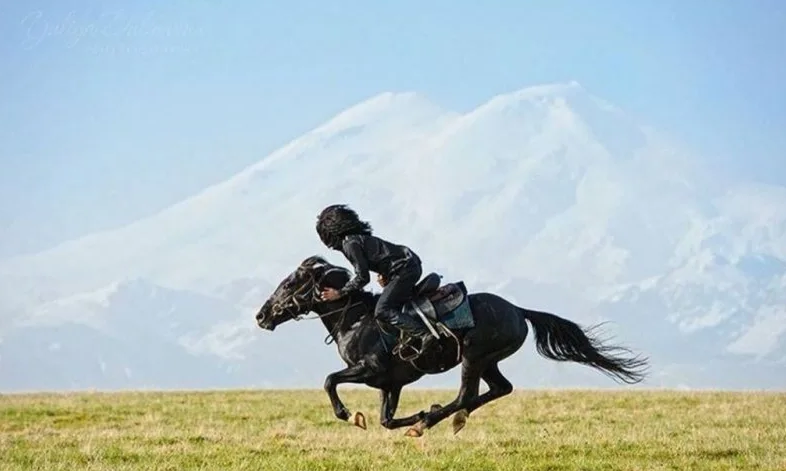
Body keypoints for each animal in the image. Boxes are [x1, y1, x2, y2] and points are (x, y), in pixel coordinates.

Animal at [254, 256, 648, 436]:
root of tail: (519, 311)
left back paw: (432, 420)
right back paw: (443, 418)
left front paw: (352, 415)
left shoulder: (369, 370)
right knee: (497, 389)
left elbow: (329, 380)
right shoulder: (390, 383)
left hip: (473, 357)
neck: (354, 320)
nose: (261, 316)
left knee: (466, 395)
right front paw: (412, 414)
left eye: (290, 283)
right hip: (489, 361)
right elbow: (386, 419)